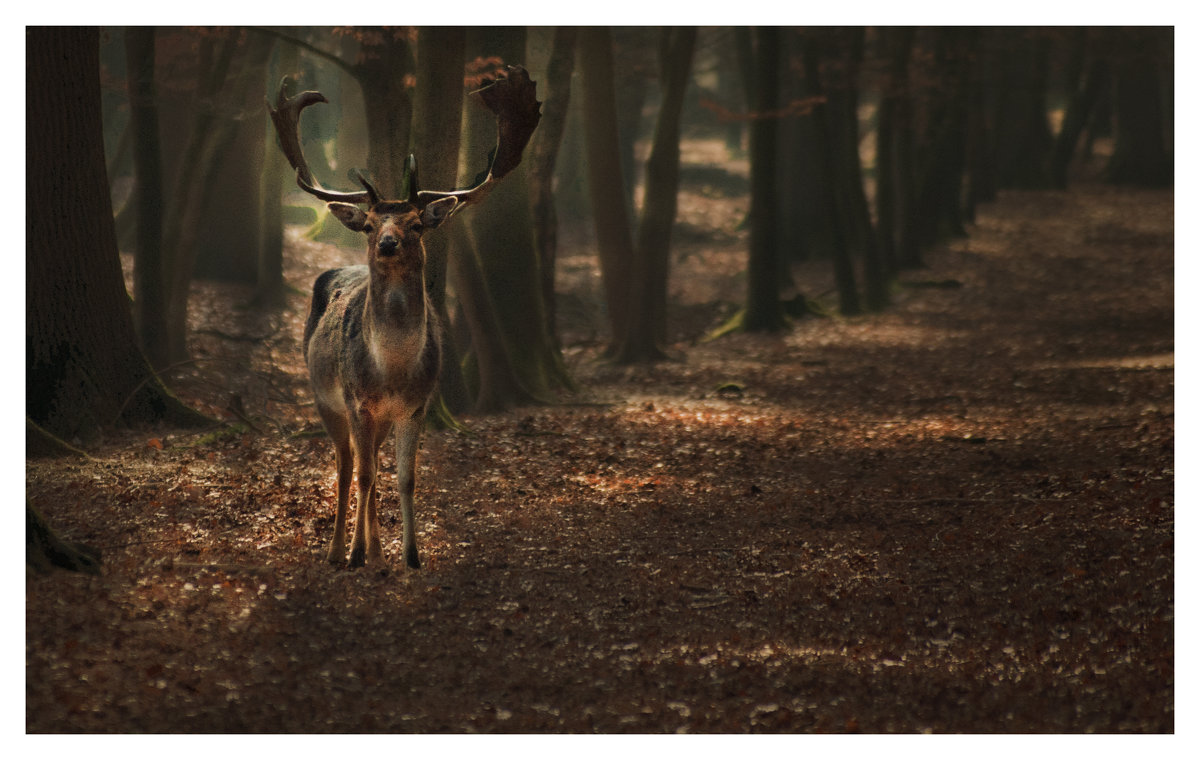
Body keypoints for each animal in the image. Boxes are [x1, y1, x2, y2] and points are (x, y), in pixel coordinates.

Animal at [270, 66, 542, 569]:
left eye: (416, 223)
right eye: (370, 224)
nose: (388, 243)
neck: (393, 370)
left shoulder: (416, 406)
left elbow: (404, 478)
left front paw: (410, 555)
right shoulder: (357, 400)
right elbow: (362, 476)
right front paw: (356, 553)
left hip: (373, 418)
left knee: (370, 467)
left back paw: (376, 550)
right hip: (324, 398)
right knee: (345, 469)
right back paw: (337, 550)